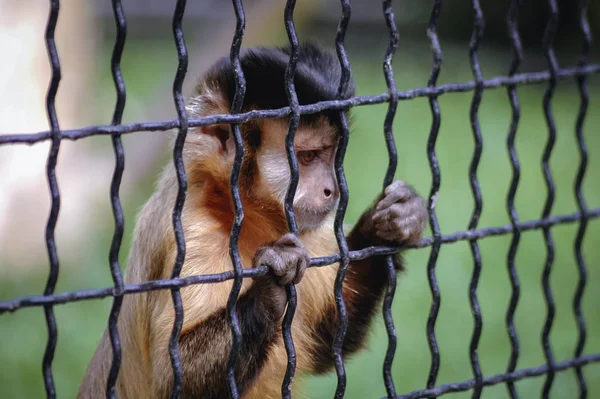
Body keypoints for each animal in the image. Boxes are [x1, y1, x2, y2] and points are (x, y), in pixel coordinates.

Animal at [78, 43, 426, 399]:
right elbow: (170, 381)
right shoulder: (193, 231)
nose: (332, 189)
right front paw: (274, 277)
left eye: (331, 156)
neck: (235, 211)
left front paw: (389, 224)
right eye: (308, 157)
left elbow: (329, 342)